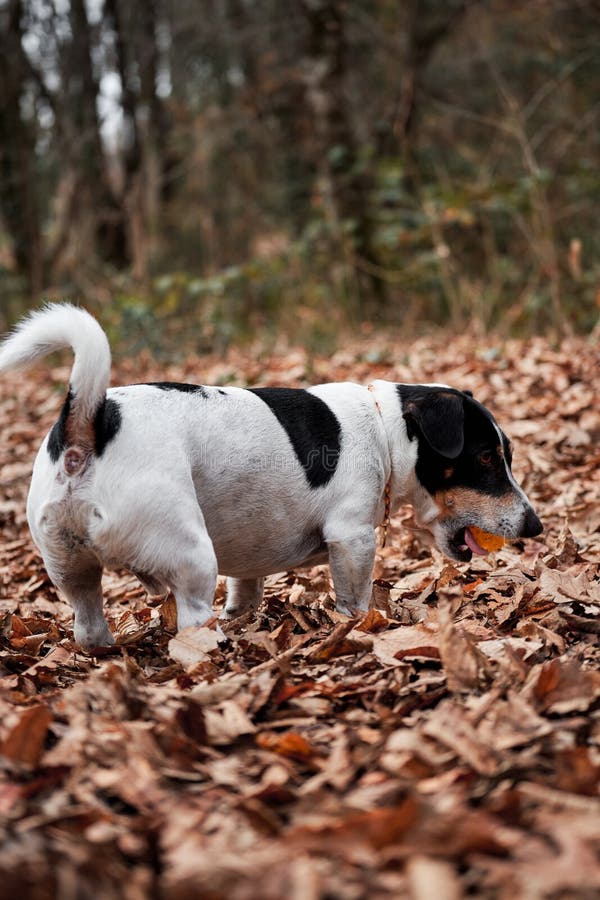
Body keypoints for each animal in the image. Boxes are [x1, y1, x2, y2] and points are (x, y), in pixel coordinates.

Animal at [0, 306, 544, 644]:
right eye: (487, 459)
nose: (535, 526)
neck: (385, 428)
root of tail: (89, 421)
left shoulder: (248, 560)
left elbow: (246, 593)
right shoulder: (352, 538)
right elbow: (355, 599)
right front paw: (363, 626)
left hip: (69, 568)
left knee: (88, 624)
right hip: (193, 556)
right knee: (193, 621)